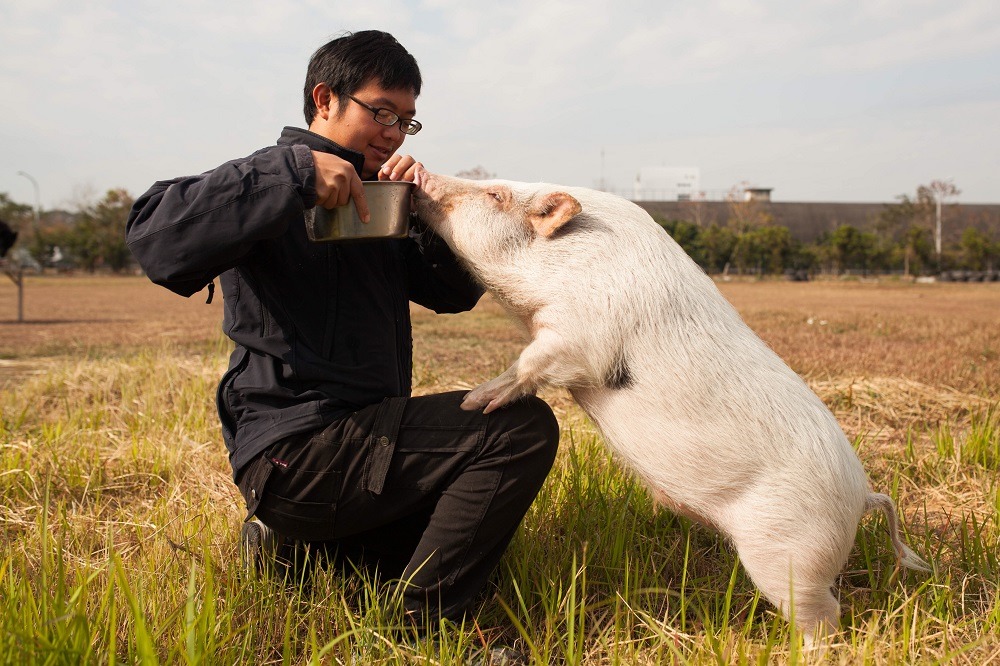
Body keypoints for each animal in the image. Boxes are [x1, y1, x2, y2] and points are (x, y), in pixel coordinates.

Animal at [412, 170, 928, 640]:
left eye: (496, 194)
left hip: (794, 553)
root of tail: (864, 496)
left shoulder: (579, 336)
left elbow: (531, 363)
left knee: (824, 617)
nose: (421, 173)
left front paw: (473, 403)